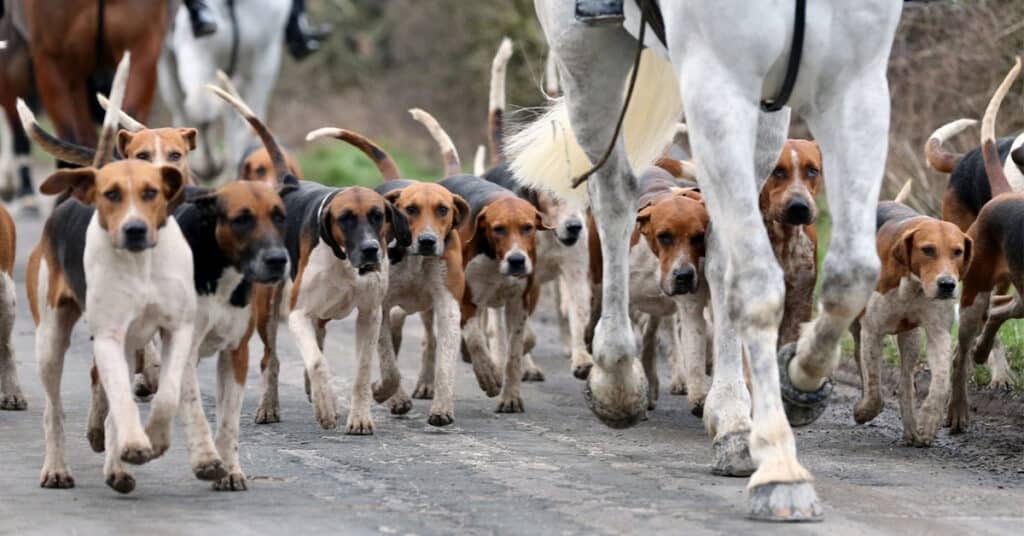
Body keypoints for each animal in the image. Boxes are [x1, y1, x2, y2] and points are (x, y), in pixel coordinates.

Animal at [157, 0, 290, 180]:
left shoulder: (265, 60)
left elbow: (248, 123)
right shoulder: (195, 52)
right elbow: (202, 112)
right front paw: (207, 165)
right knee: (182, 107)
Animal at [507, 0, 901, 520]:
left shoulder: (855, 84)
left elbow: (852, 273)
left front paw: (798, 382)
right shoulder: (719, 82)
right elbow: (756, 287)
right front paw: (780, 469)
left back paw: (732, 416)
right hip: (587, 60)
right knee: (612, 196)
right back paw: (618, 378)